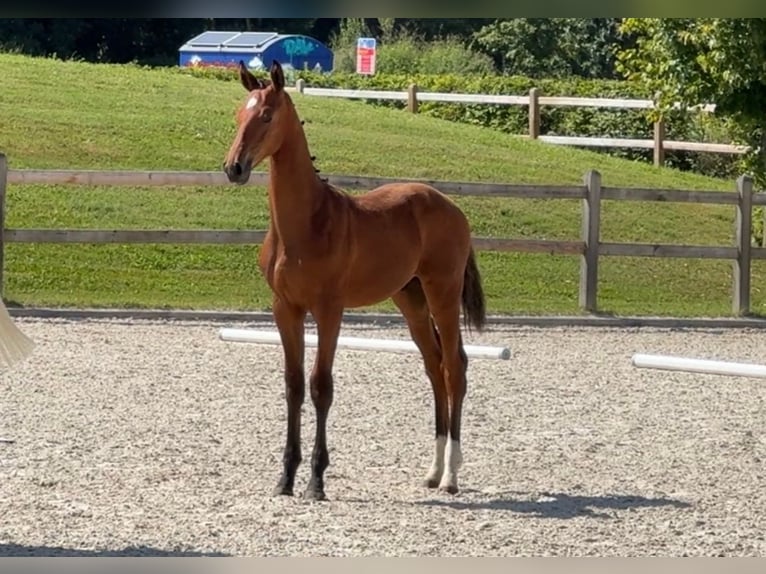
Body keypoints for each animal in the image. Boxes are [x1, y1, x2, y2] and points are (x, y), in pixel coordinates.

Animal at [224, 60, 486, 502]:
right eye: (239, 115)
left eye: (267, 116)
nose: (234, 168)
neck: (306, 225)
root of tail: (453, 208)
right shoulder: (286, 309)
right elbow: (294, 385)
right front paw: (285, 478)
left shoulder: (330, 310)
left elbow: (320, 386)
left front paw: (316, 480)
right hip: (411, 300)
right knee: (434, 367)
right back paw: (432, 472)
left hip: (443, 293)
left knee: (454, 368)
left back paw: (451, 475)